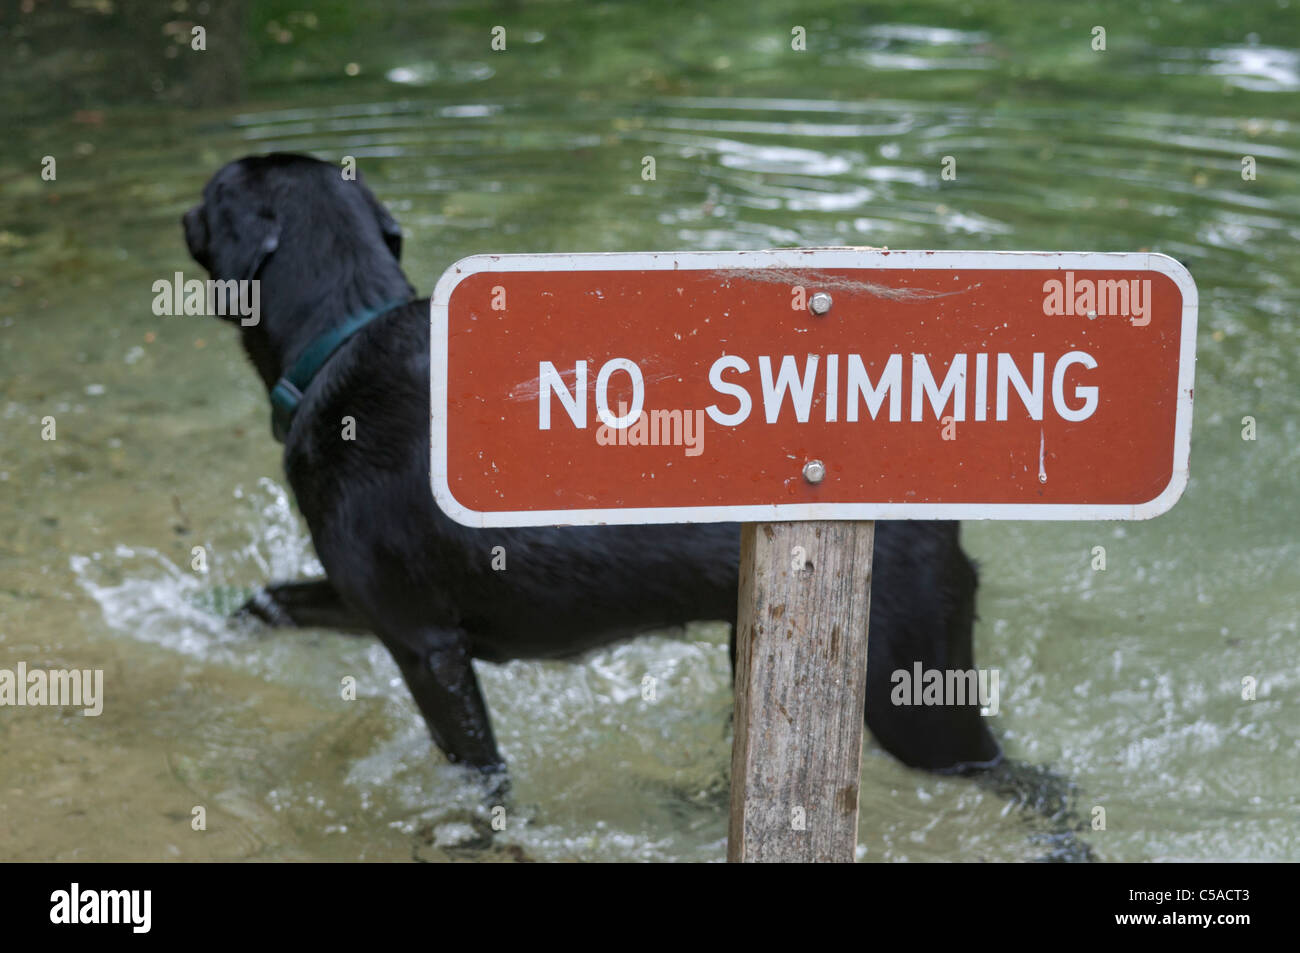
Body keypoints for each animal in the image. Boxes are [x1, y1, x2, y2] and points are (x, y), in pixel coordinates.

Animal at [183, 154, 998, 780]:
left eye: (213, 193)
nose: (186, 210)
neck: (340, 337)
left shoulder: (427, 647)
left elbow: (478, 771)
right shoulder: (371, 606)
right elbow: (267, 601)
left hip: (908, 693)